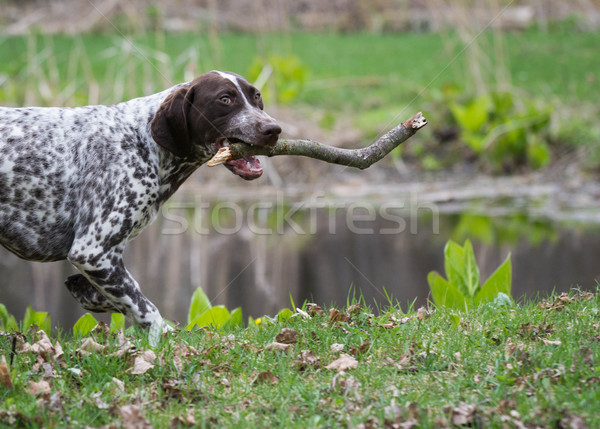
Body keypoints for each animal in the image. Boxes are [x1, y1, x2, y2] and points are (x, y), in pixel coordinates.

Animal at [0, 72, 282, 330]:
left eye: (257, 97)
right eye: (225, 99)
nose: (274, 129)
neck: (142, 141)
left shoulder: (107, 258)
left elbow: (119, 294)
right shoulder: (93, 251)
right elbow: (146, 309)